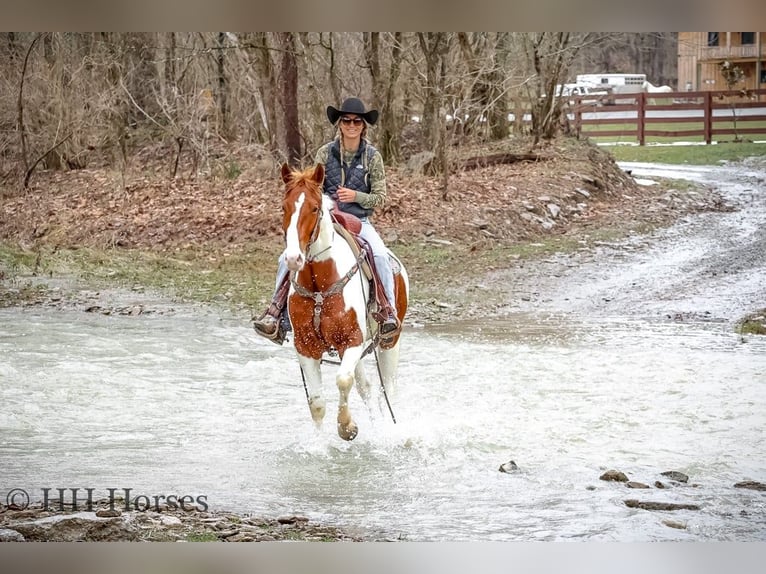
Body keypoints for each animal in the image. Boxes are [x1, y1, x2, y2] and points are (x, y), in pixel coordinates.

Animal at [279, 162, 409, 441]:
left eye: (314, 208)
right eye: (284, 207)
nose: (293, 258)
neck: (319, 284)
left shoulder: (352, 340)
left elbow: (342, 381)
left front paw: (347, 427)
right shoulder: (305, 346)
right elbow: (317, 403)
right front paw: (319, 445)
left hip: (389, 342)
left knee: (385, 390)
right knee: (366, 388)